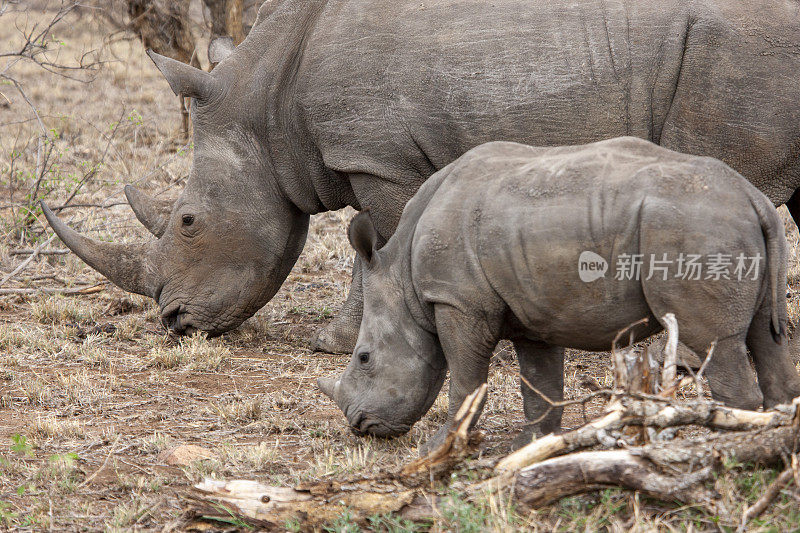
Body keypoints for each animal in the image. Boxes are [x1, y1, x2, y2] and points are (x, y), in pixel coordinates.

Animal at [40, 0, 800, 352]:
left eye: (190, 221)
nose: (172, 320)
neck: (265, 104)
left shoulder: (379, 157)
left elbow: (380, 239)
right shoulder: (366, 156)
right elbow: (359, 240)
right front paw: (335, 342)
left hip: (732, 49)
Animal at [318, 138, 800, 454]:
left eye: (364, 357)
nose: (359, 425)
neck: (402, 277)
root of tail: (753, 197)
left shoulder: (458, 301)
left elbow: (465, 380)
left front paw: (438, 450)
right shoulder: (531, 309)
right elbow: (540, 381)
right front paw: (531, 446)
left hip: (692, 229)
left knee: (716, 341)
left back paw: (723, 447)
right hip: (720, 228)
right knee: (766, 336)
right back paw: (772, 434)